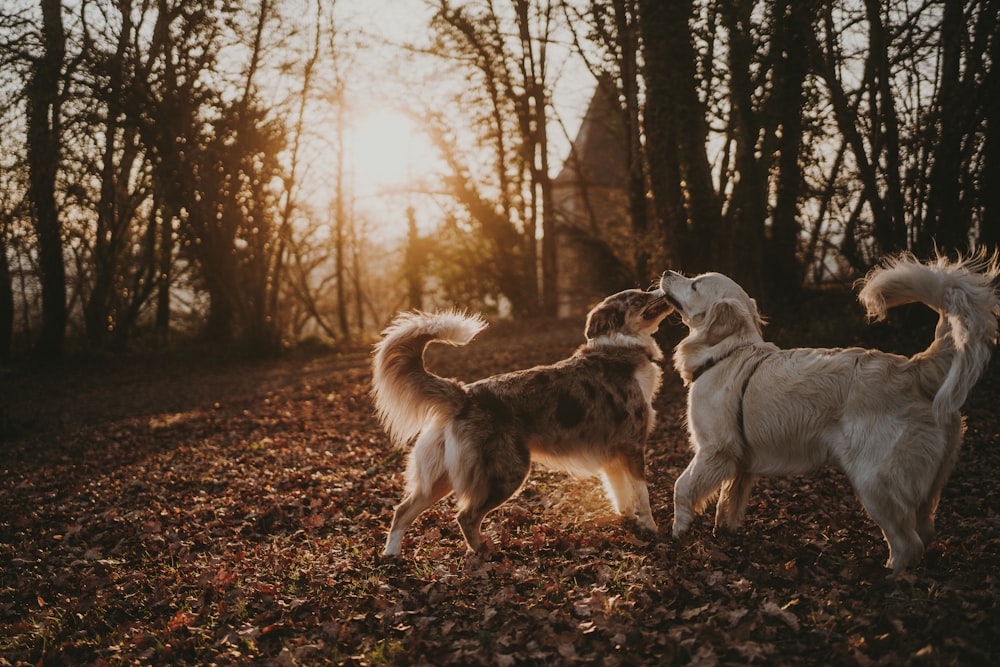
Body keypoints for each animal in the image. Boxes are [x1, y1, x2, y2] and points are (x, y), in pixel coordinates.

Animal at [370, 290, 672, 556]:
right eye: (639, 298)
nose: (663, 287)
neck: (620, 346)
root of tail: (466, 395)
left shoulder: (612, 454)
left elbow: (621, 494)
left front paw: (628, 522)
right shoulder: (632, 444)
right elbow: (642, 494)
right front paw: (651, 529)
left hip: (442, 477)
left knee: (403, 511)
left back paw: (391, 555)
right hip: (507, 472)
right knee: (466, 516)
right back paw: (484, 553)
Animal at [660, 253, 996, 572]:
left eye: (694, 284)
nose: (665, 271)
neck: (725, 352)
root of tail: (913, 367)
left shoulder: (715, 449)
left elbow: (681, 487)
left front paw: (679, 530)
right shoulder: (739, 460)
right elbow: (727, 502)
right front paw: (724, 534)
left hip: (875, 481)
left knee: (907, 542)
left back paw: (888, 574)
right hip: (926, 485)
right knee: (924, 532)